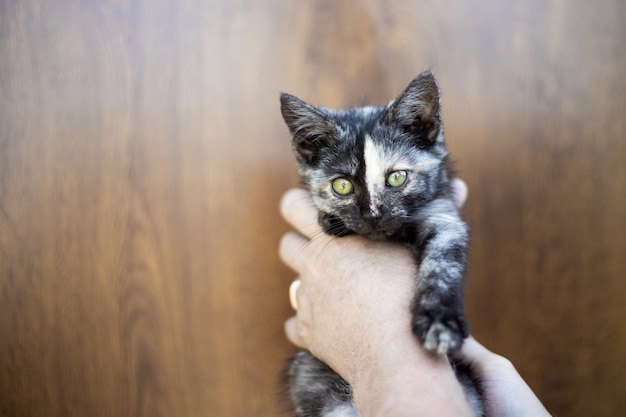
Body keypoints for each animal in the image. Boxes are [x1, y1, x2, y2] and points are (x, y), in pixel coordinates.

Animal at [280, 72, 480, 416]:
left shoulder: (444, 216)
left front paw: (440, 323)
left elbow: (442, 266)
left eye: (397, 178)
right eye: (342, 185)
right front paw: (330, 219)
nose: (372, 215)